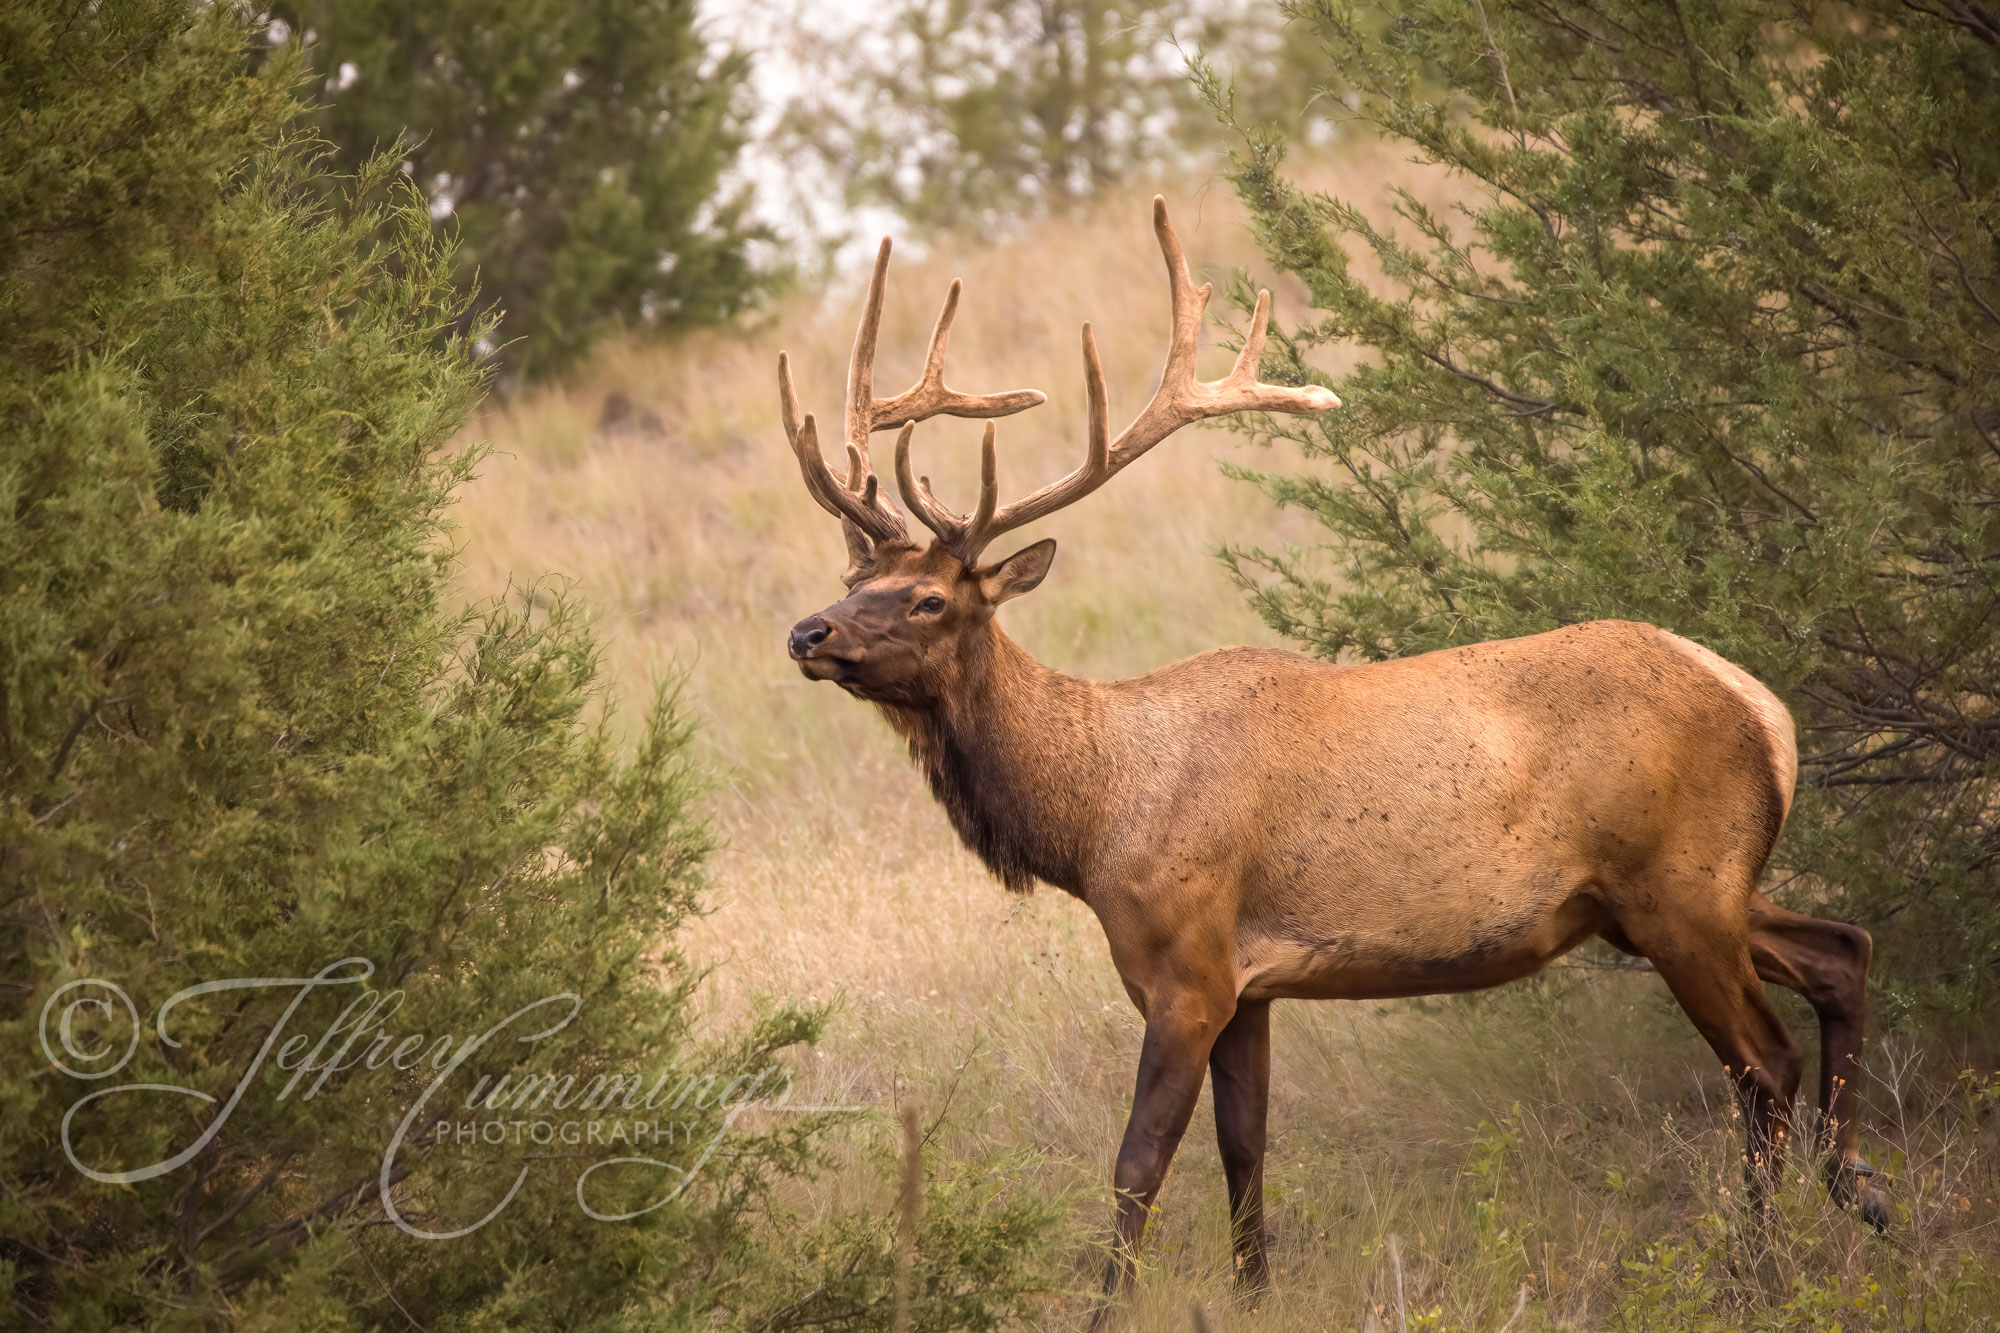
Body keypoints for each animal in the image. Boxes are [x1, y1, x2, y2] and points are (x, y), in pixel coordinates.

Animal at [777, 198, 1886, 1324]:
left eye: (927, 598)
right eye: (853, 576)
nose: (806, 631)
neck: (1095, 819)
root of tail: (1766, 710)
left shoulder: (1185, 964)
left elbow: (1139, 1158)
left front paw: (1107, 1304)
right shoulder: (1250, 983)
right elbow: (1245, 1146)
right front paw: (1255, 1289)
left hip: (1679, 889)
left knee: (1766, 1062)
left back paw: (1754, 1266)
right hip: (1684, 889)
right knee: (1842, 948)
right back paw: (1858, 1189)